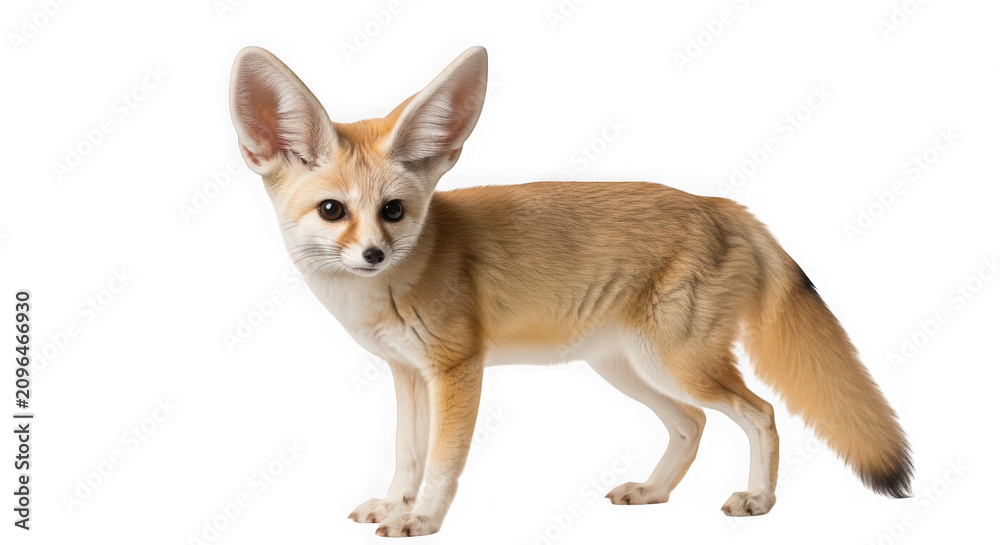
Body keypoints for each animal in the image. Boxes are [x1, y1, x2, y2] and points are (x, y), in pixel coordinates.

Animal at [228, 45, 912, 537]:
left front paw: (421, 519)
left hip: (677, 365)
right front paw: (397, 505)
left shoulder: (456, 370)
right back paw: (655, 492)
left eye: (393, 211)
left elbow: (443, 463)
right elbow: (407, 456)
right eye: (333, 210)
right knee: (692, 424)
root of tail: (725, 205)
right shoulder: (407, 374)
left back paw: (761, 500)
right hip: (630, 369)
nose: (373, 254)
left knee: (762, 412)